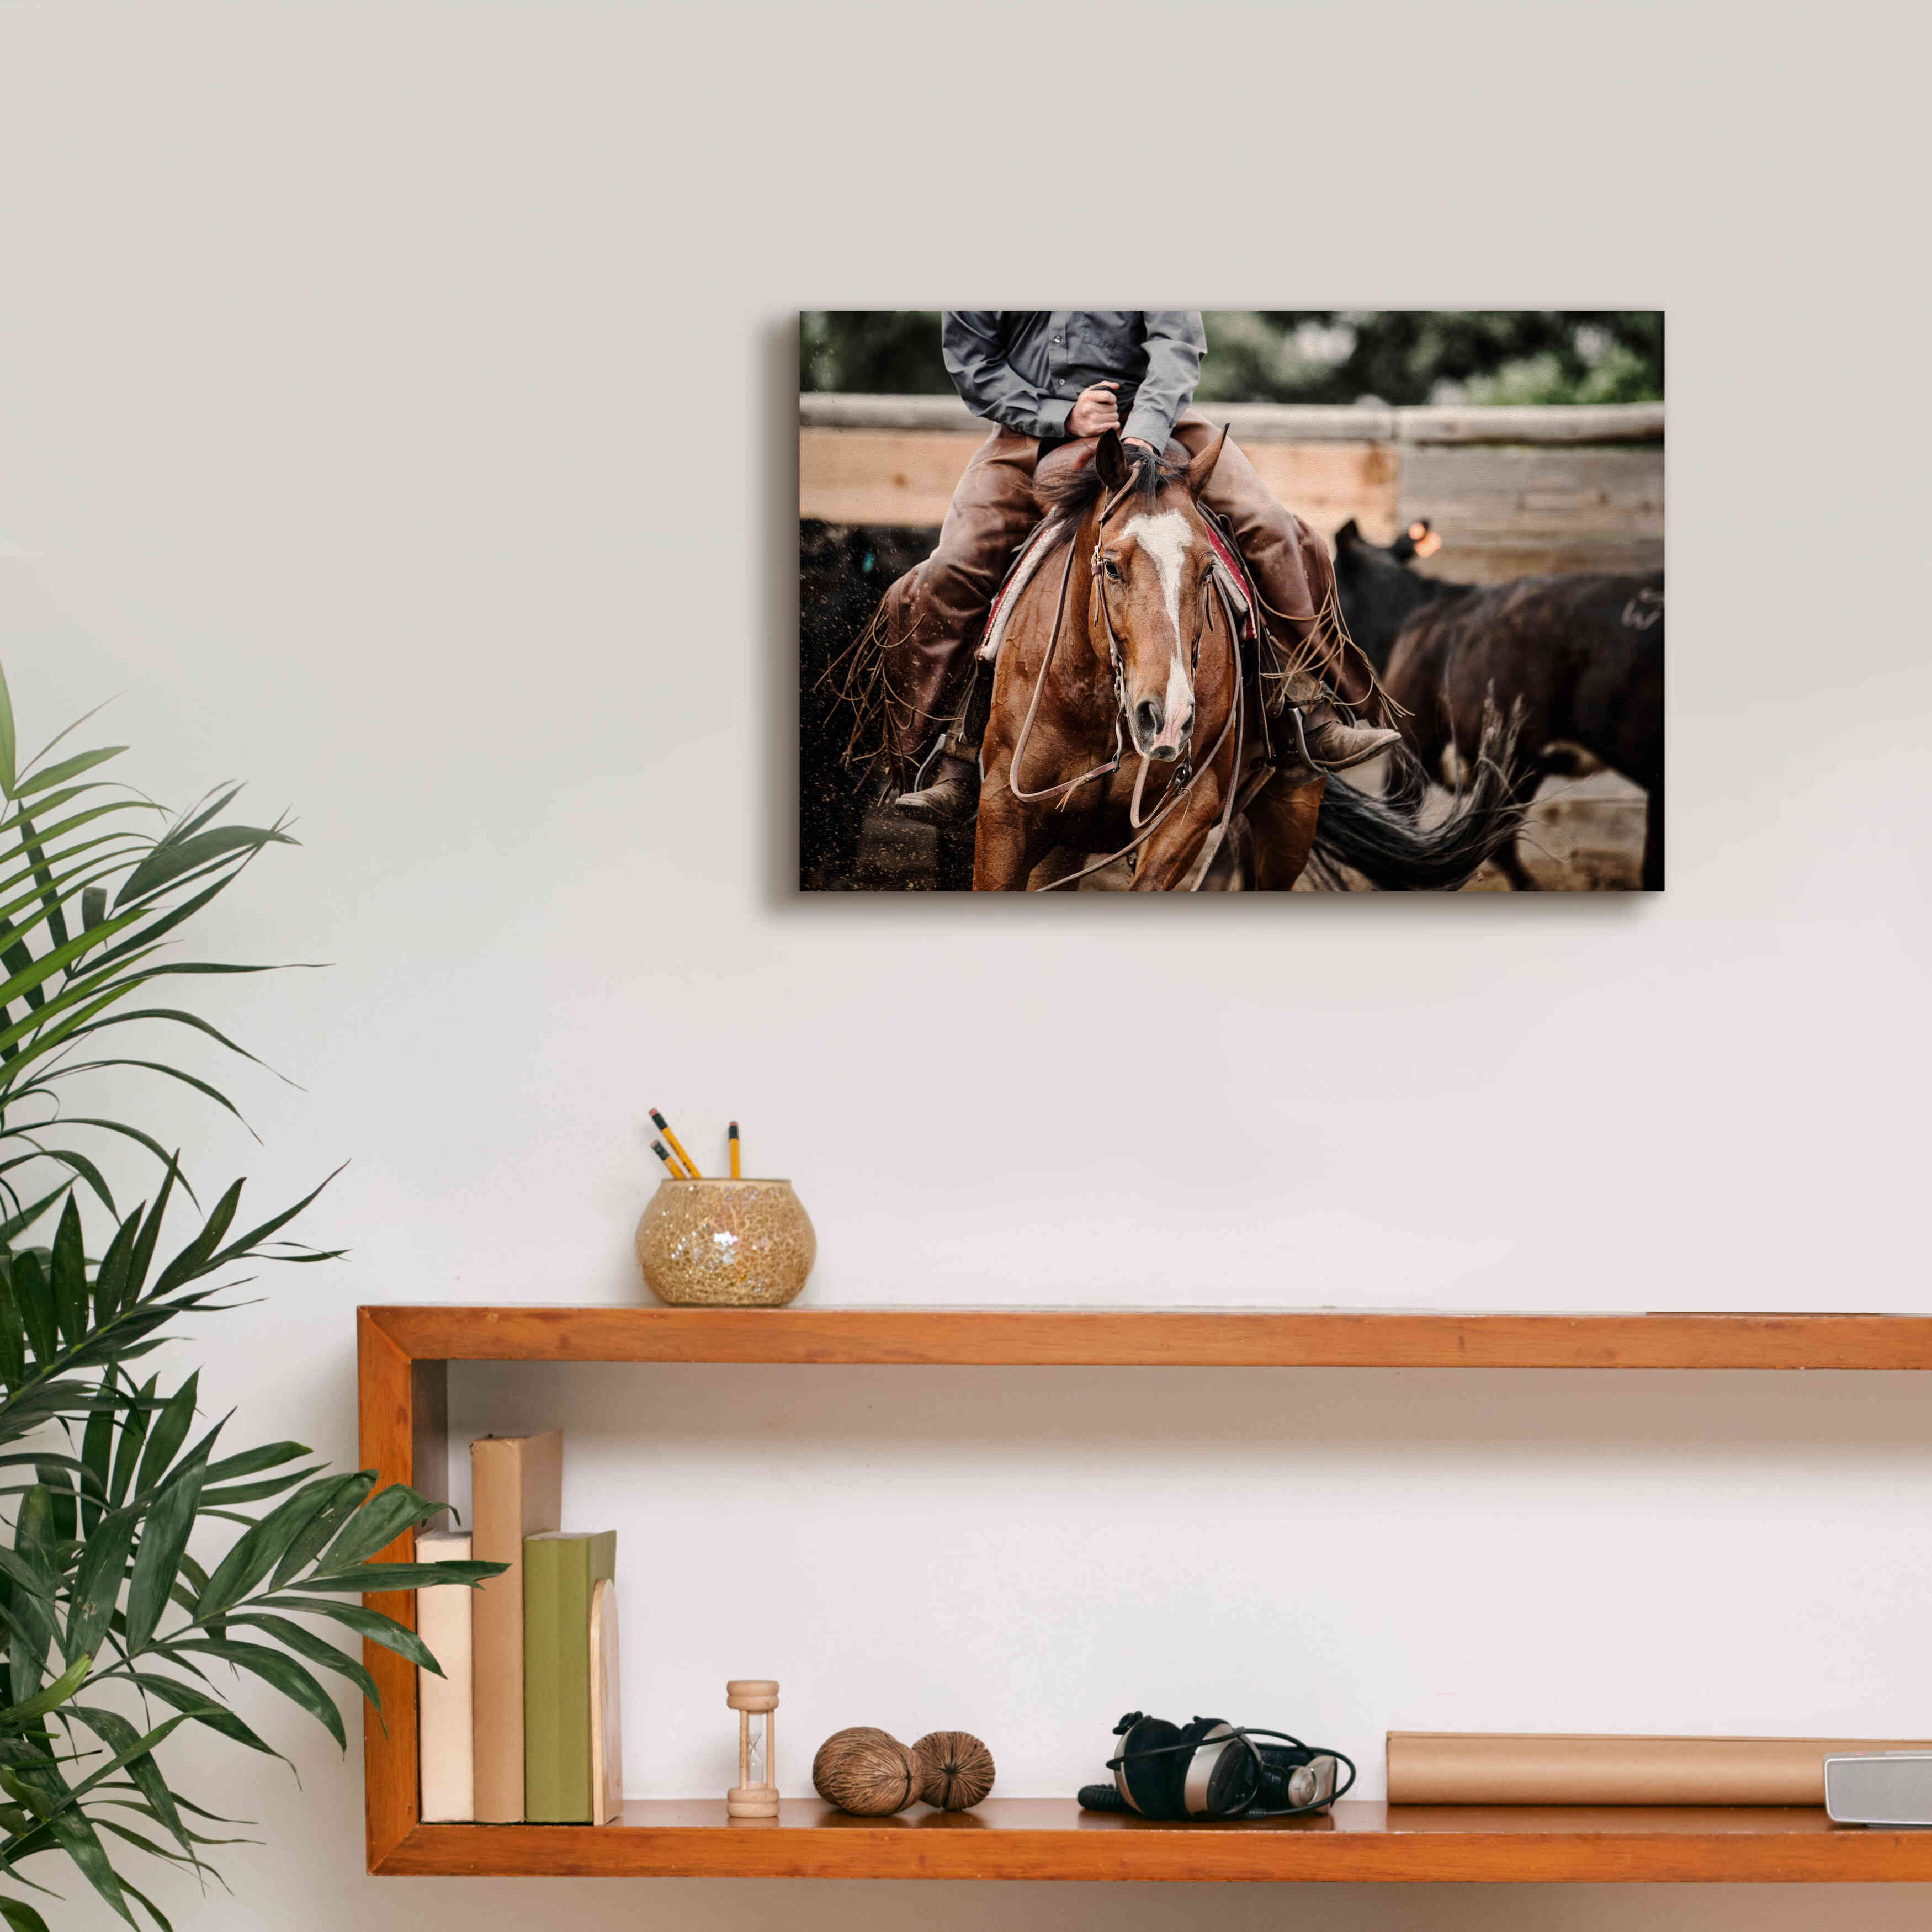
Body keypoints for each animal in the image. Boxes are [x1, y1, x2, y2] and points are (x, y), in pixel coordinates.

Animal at [973, 434, 1526, 892]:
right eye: (1110, 566)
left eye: (1206, 569)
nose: (1167, 717)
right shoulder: (1004, 812)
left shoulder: (1189, 811)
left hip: (1291, 814)